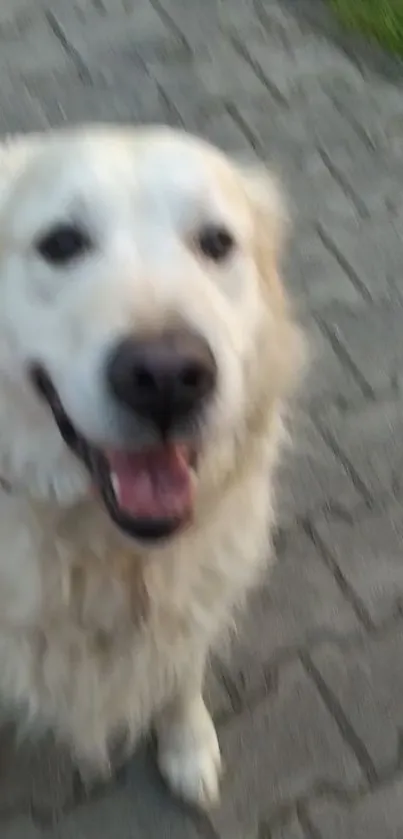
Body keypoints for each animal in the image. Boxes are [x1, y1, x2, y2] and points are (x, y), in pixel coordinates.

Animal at [0, 124, 304, 808]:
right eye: (61, 243)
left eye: (216, 243)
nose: (166, 377)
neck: (110, 555)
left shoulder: (193, 597)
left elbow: (180, 672)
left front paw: (187, 744)